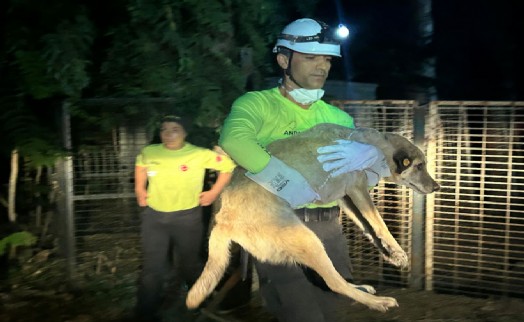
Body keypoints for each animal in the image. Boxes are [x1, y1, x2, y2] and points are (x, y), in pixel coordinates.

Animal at [186, 122, 440, 312]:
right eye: (420, 166)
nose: (436, 187)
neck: (376, 145)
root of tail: (224, 221)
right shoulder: (358, 190)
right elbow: (379, 224)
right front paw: (397, 250)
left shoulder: (347, 198)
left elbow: (368, 227)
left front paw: (393, 255)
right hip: (309, 241)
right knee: (334, 283)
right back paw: (377, 302)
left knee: (335, 280)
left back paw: (361, 289)